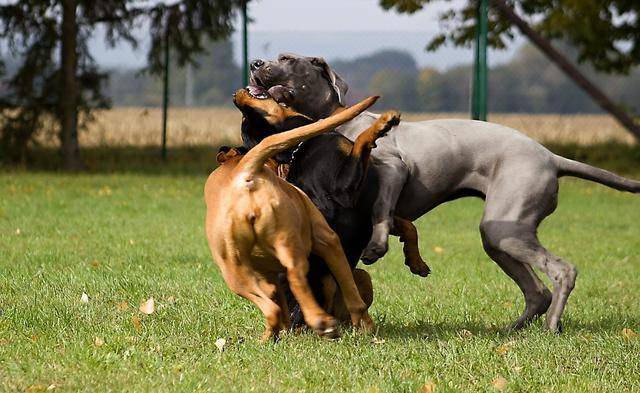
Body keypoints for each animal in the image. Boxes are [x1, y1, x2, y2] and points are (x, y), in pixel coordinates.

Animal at [205, 89, 378, 340]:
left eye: (245, 119)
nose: (236, 96)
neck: (300, 148)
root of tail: (245, 175)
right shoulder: (340, 196)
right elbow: (361, 145)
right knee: (299, 285)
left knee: (278, 305)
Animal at [249, 54, 640, 330]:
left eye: (287, 59)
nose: (254, 64)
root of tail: (550, 157)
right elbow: (402, 224)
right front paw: (412, 259)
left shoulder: (392, 168)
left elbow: (382, 211)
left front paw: (378, 248)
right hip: (499, 235)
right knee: (537, 291)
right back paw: (514, 329)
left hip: (508, 227)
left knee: (562, 272)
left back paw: (552, 326)